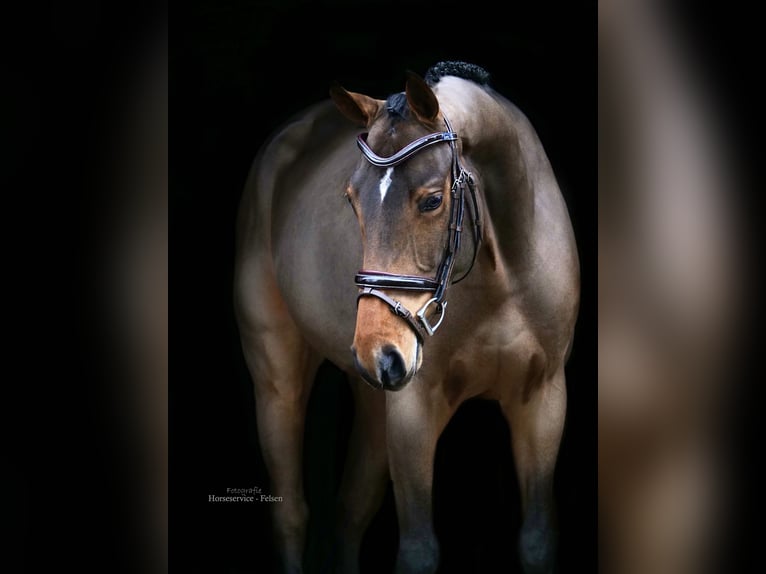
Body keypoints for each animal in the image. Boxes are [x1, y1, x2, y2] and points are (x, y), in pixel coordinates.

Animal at [236, 60, 584, 572]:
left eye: (432, 200)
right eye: (352, 199)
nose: (377, 352)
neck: (502, 278)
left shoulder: (542, 400)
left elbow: (538, 538)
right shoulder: (414, 409)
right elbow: (418, 549)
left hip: (371, 396)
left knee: (352, 509)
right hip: (278, 380)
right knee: (292, 515)